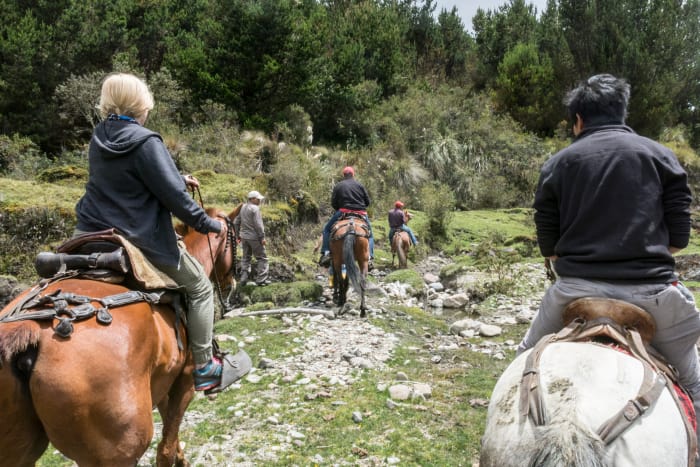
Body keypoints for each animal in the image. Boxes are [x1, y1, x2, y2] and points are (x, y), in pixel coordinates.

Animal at [0, 205, 240, 467]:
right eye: (236, 241)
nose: (233, 283)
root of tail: (32, 330)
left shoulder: (163, 383)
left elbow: (171, 436)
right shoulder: (184, 381)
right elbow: (166, 447)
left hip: (17, 450)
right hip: (120, 448)